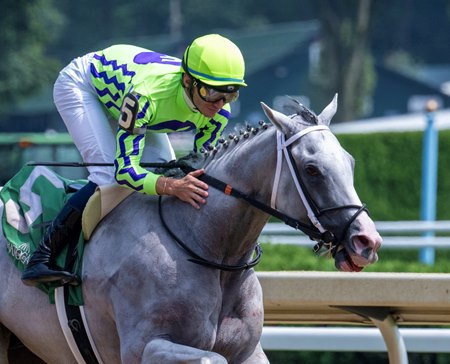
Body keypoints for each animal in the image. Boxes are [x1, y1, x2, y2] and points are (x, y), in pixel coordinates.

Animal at [0, 95, 382, 362]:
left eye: (349, 161)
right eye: (312, 169)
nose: (367, 241)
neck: (206, 248)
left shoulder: (248, 351)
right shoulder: (143, 348)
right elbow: (210, 359)